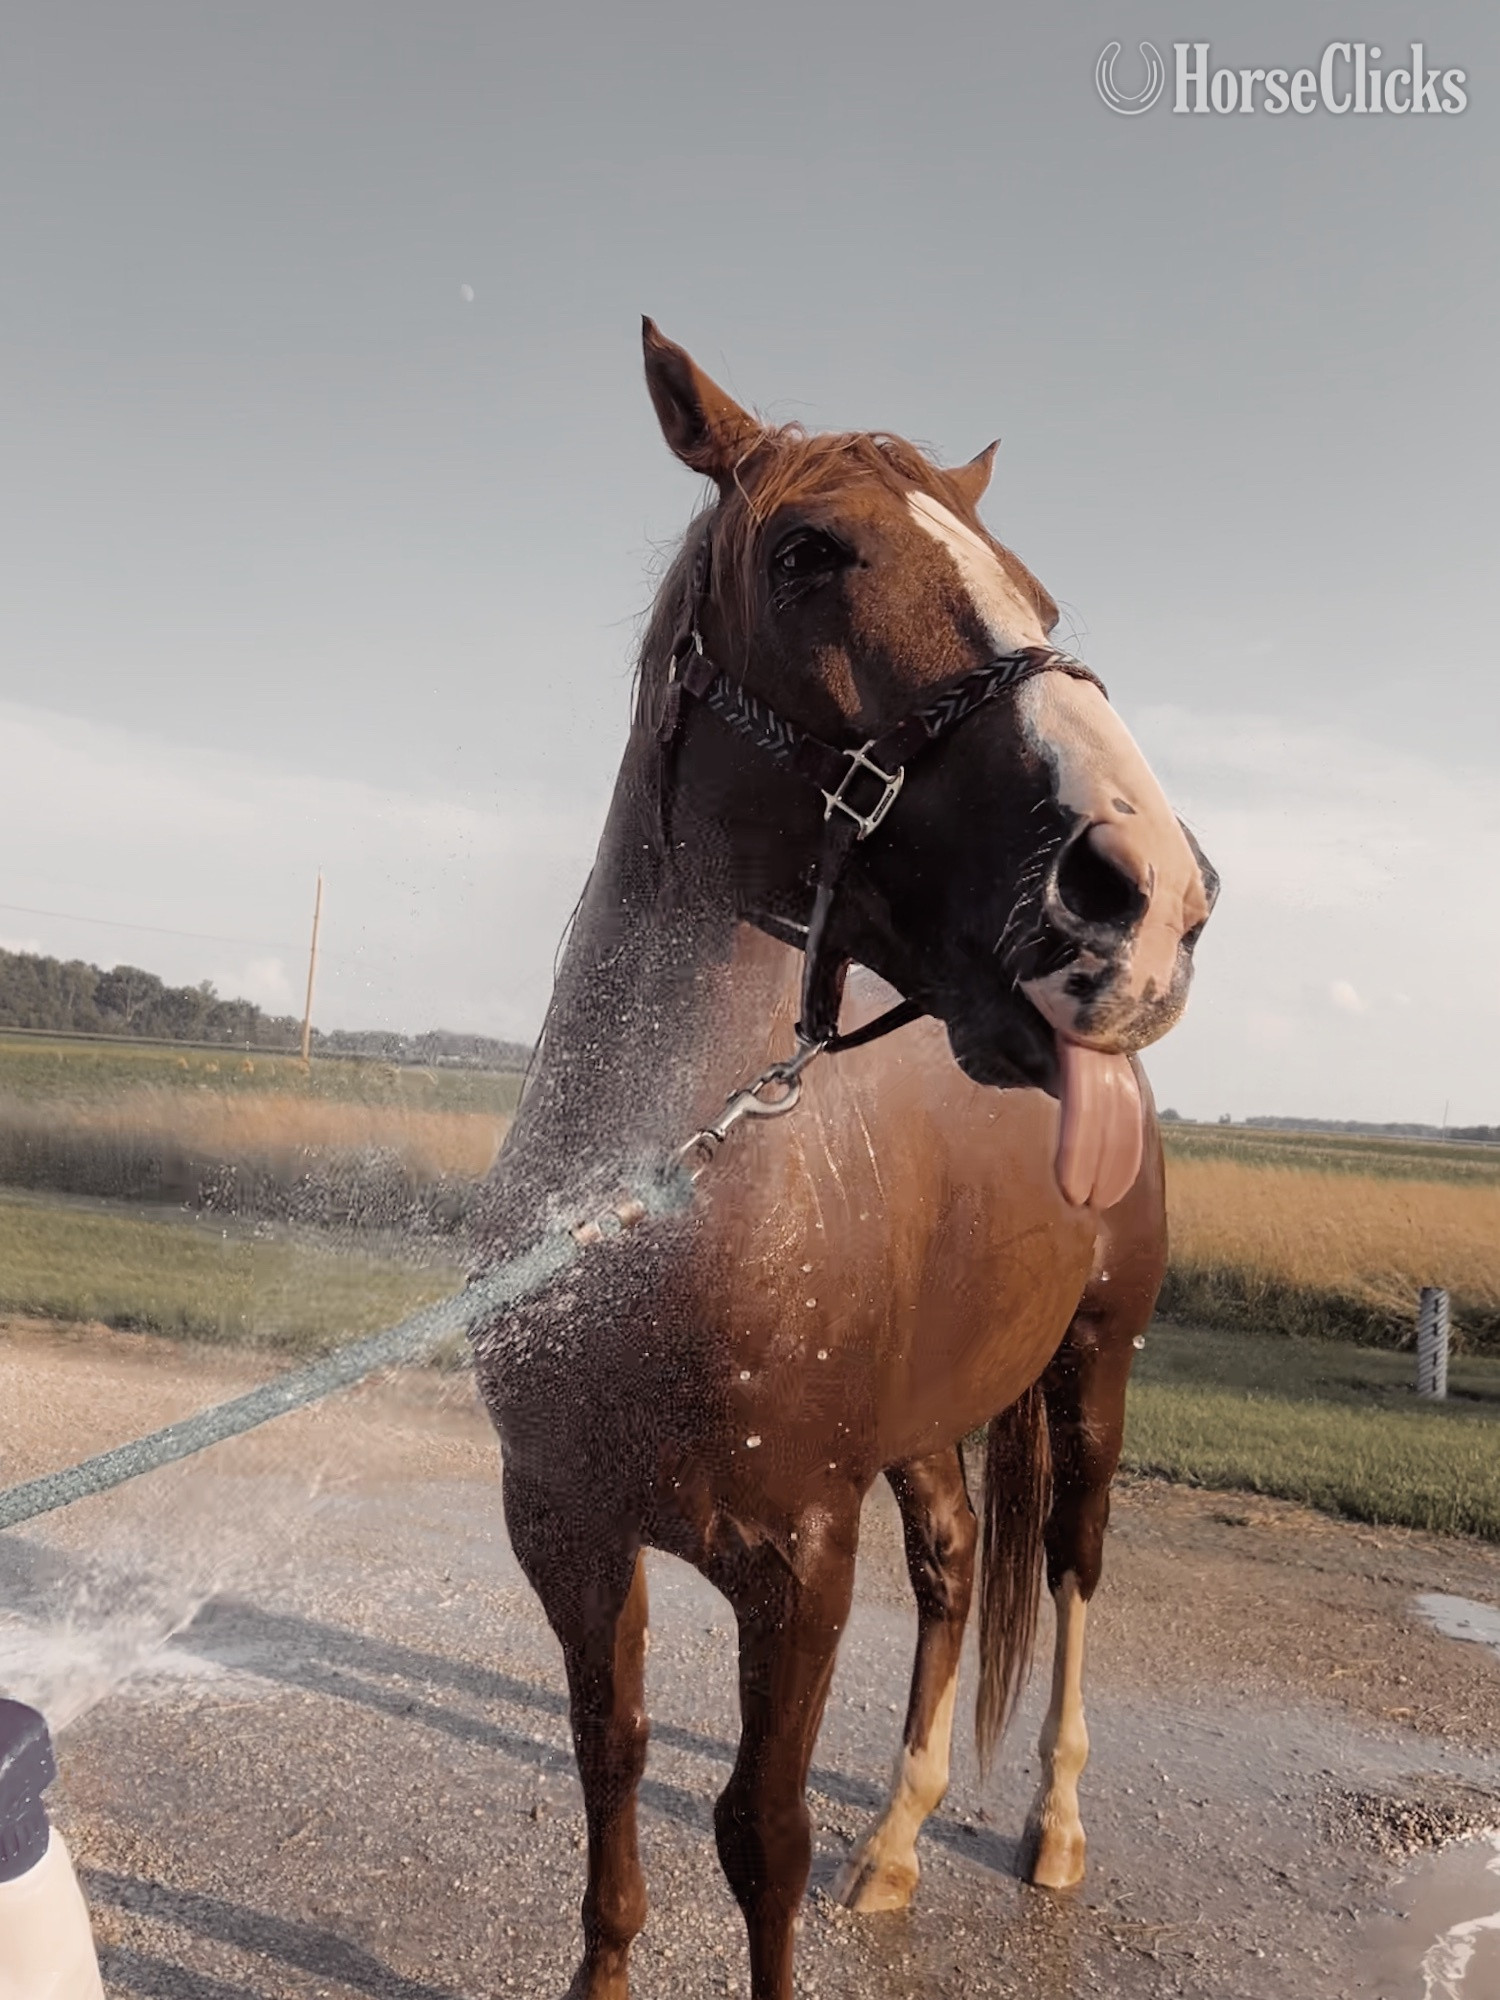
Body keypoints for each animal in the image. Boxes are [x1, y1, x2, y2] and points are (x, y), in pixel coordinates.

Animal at [472, 320, 1217, 2000]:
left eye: (1041, 598)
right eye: (809, 552)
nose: (1152, 893)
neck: (659, 1207)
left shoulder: (797, 1563)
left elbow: (761, 1837)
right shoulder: (566, 1526)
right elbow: (610, 1764)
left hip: (1093, 1373)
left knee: (1069, 1566)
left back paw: (1052, 1829)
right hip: (929, 1429)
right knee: (952, 1566)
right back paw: (901, 1841)